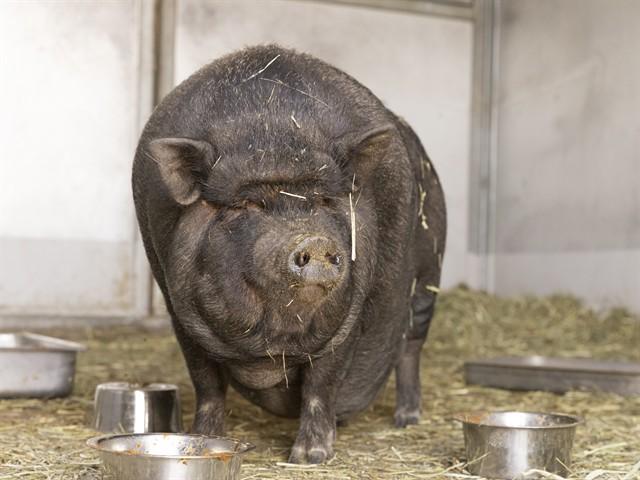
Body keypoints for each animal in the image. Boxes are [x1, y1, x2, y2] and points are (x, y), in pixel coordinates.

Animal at [132, 45, 446, 464]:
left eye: (324, 200)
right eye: (244, 204)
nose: (313, 241)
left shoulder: (348, 318)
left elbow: (321, 383)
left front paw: (310, 457)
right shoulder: (180, 313)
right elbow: (207, 383)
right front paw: (203, 440)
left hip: (429, 277)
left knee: (411, 348)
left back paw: (406, 419)